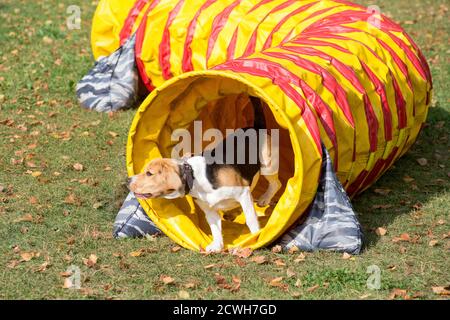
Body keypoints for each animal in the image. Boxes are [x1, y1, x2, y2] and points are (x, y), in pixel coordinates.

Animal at [128, 95, 280, 252]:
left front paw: (256, 237)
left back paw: (264, 199)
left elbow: (250, 219)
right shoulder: (210, 210)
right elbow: (215, 229)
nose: (128, 180)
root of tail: (255, 128)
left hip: (268, 166)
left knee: (276, 183)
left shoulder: (243, 193)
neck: (194, 177)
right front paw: (217, 246)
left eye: (149, 173)